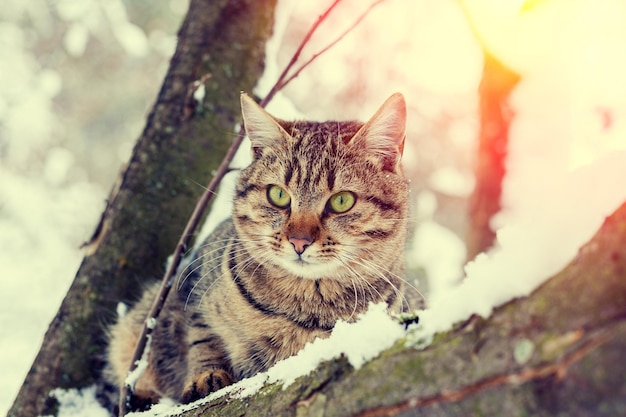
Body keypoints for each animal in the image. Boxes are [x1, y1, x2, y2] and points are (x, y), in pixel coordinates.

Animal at [106, 90, 410, 404]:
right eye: (278, 195)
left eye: (341, 201)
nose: (299, 241)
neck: (303, 304)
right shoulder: (194, 290)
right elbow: (202, 337)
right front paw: (206, 376)